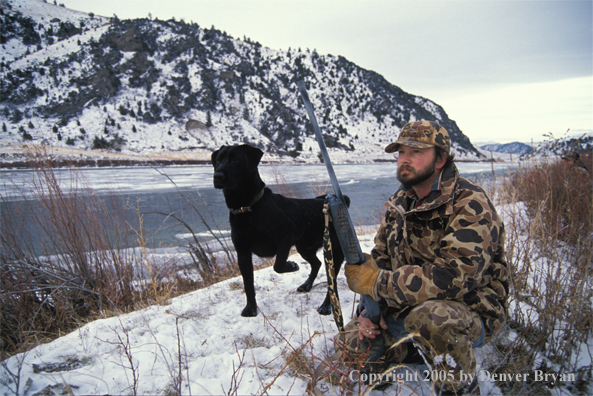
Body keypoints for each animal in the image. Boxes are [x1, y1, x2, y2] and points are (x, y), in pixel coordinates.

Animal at [210, 144, 344, 318]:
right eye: (218, 160)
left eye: (236, 159)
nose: (217, 175)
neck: (248, 208)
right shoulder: (243, 253)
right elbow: (248, 285)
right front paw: (251, 309)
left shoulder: (286, 235)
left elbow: (278, 265)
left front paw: (291, 265)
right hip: (304, 247)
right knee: (317, 263)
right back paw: (306, 285)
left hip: (332, 251)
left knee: (331, 282)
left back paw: (326, 306)